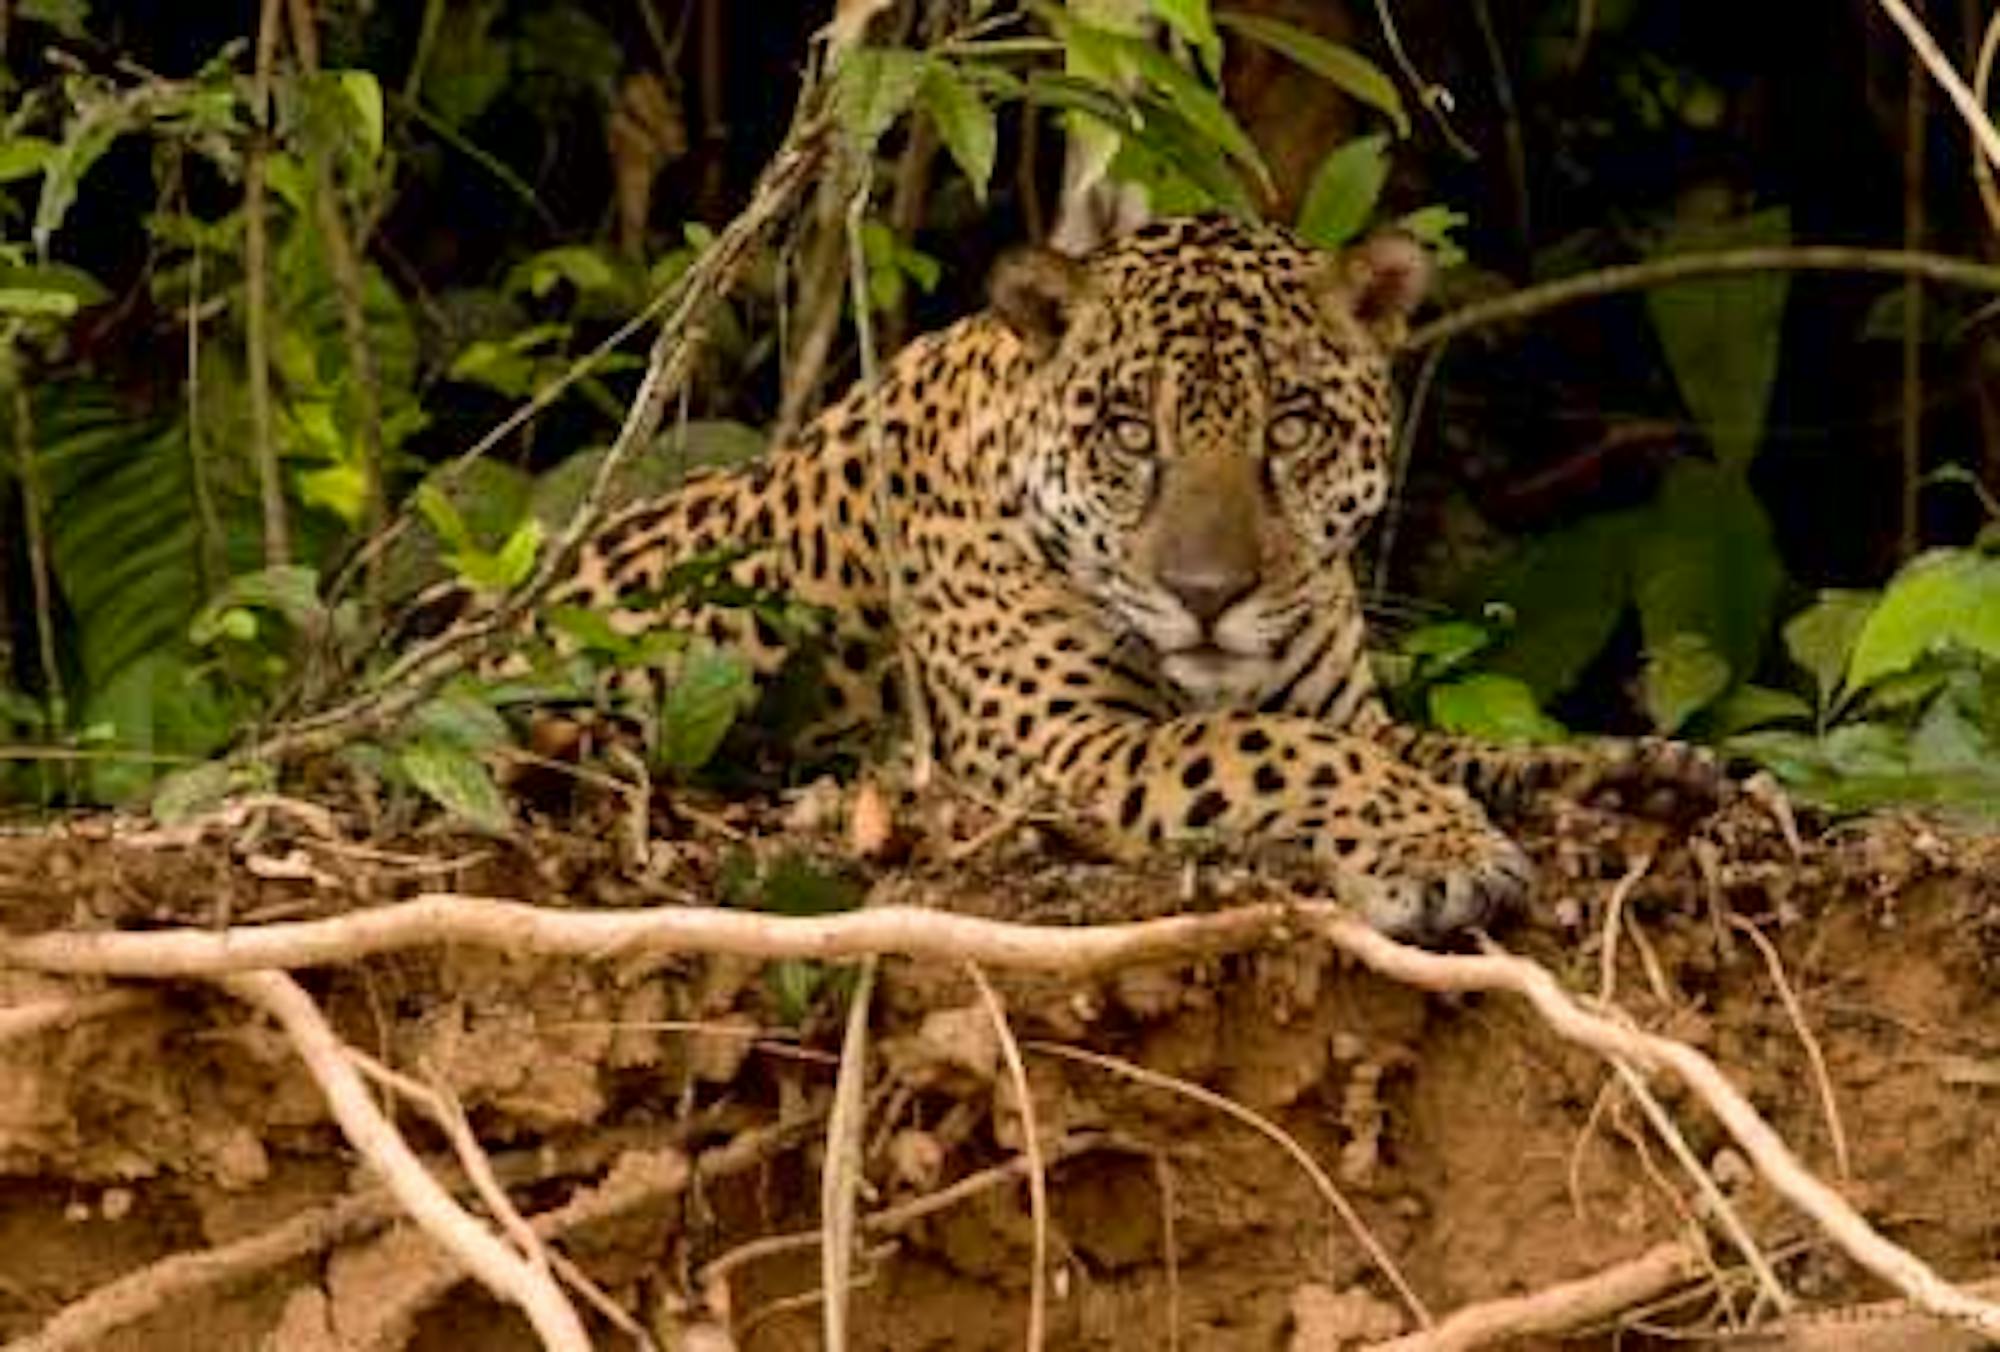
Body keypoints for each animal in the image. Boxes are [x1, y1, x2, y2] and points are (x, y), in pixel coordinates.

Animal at [486, 214, 1717, 941]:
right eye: (1130, 432)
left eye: (1292, 425)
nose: (1208, 596)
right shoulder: (1062, 744)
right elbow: (1268, 745)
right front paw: (1442, 851)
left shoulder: (1353, 709)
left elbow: (1447, 748)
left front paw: (1633, 775)